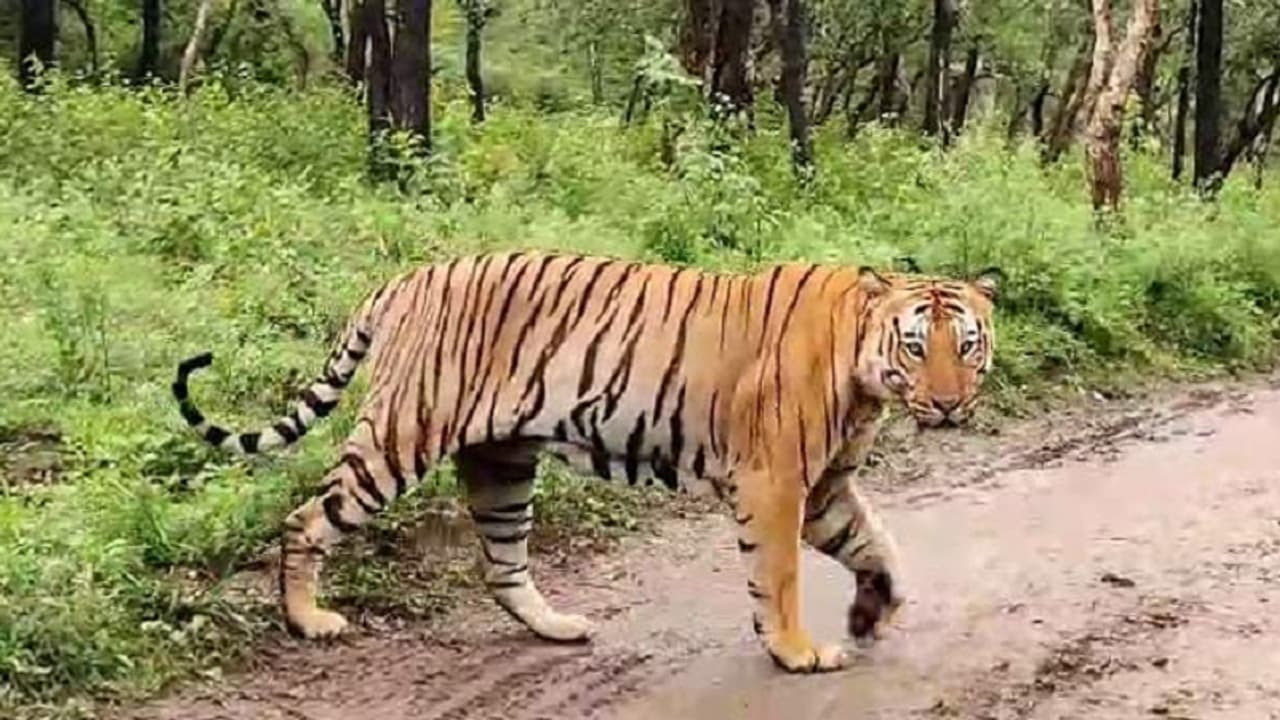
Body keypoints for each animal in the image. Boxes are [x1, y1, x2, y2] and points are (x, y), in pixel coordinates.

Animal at [172, 251, 998, 673]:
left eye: (968, 346)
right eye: (915, 346)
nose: (949, 405)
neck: (864, 379)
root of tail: (404, 279)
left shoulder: (824, 486)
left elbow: (877, 545)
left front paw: (873, 610)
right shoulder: (775, 482)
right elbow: (782, 576)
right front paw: (795, 651)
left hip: (501, 462)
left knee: (501, 564)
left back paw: (558, 628)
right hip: (402, 435)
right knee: (306, 518)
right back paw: (308, 620)